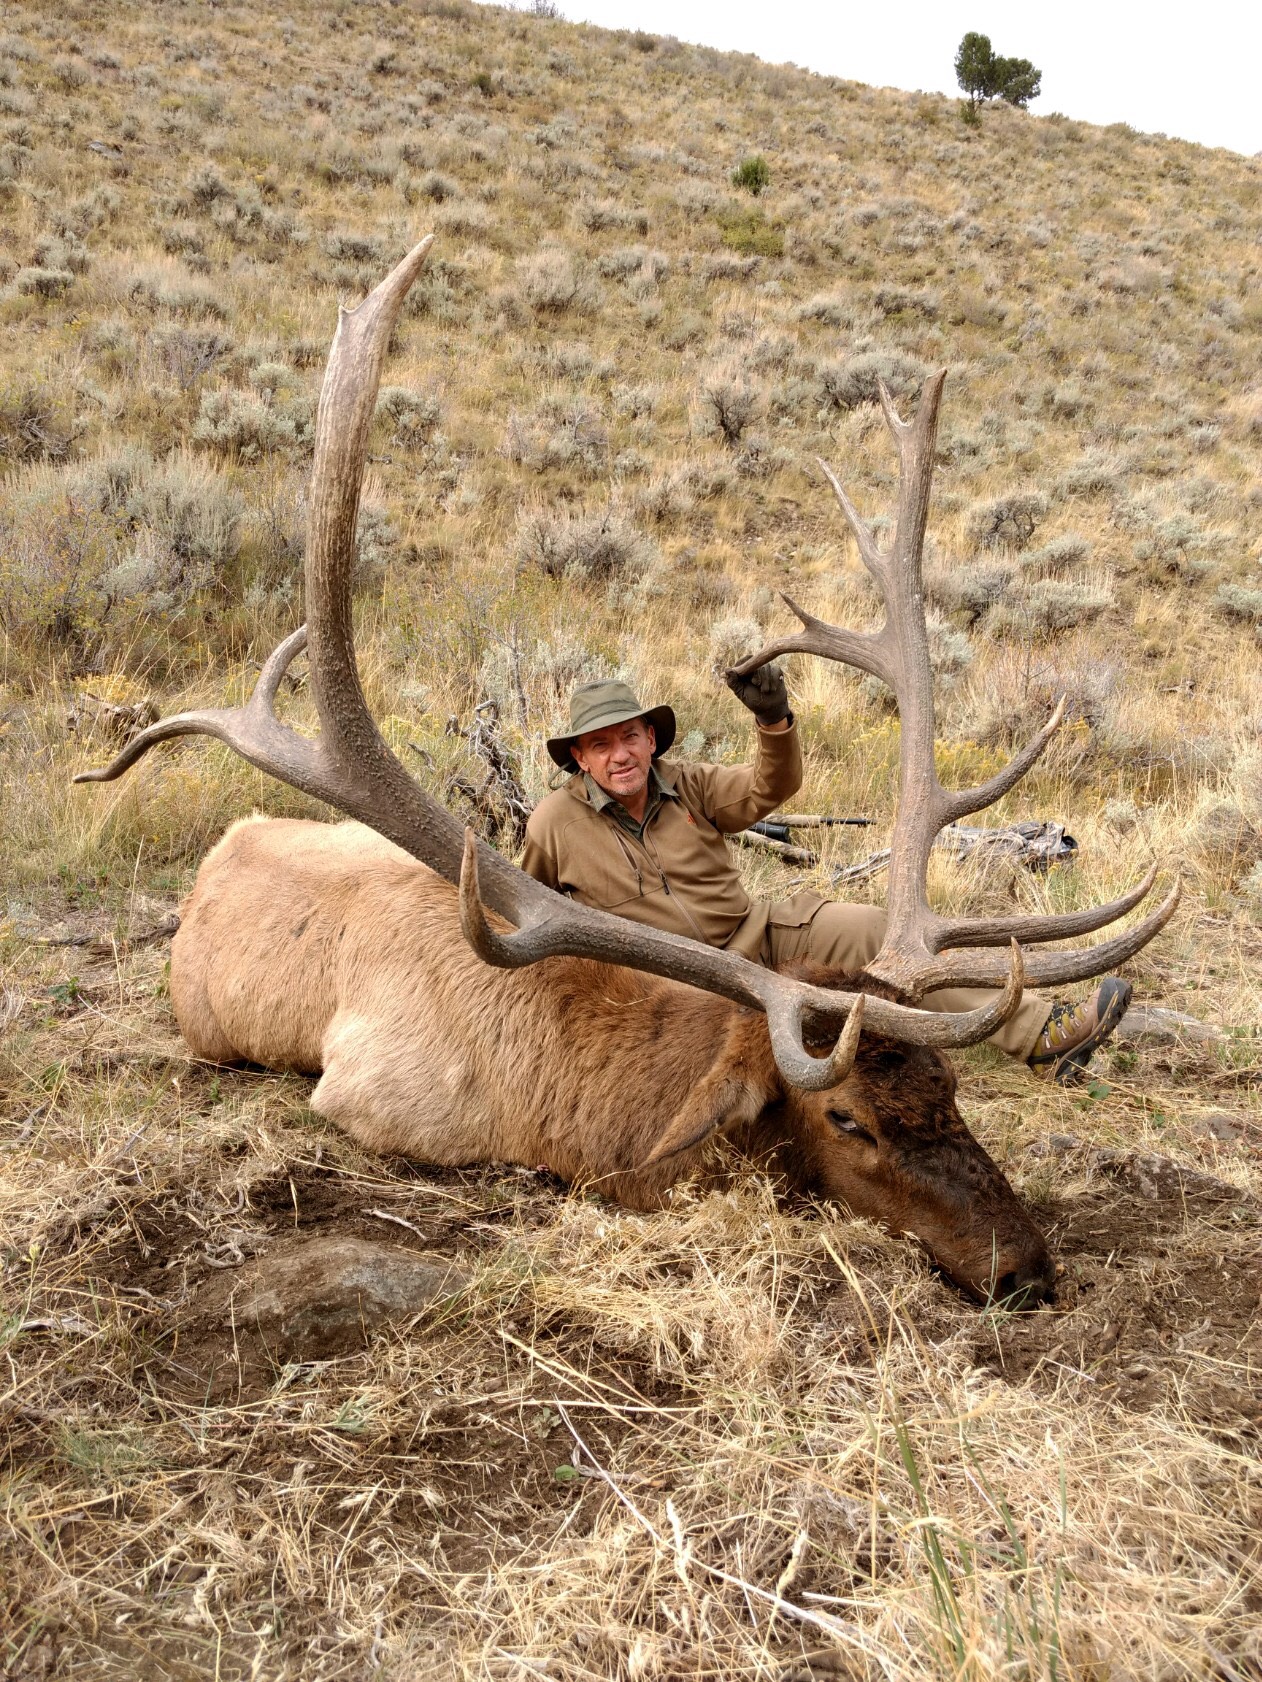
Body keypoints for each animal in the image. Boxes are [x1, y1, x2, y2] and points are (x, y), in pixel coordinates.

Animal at [75, 237, 1178, 1307]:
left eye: (950, 1091)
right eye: (849, 1119)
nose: (1026, 1269)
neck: (561, 1090)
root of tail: (227, 843)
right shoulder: (371, 1098)